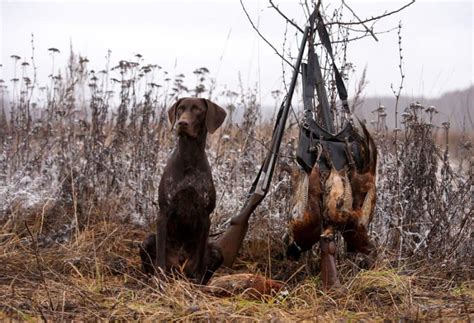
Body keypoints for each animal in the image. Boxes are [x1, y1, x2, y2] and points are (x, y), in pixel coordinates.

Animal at [140, 97, 227, 284]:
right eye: (180, 109)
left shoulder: (205, 217)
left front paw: (196, 282)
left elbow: (200, 260)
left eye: (198, 110)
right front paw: (159, 281)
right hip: (147, 241)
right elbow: (160, 258)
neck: (189, 158)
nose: (182, 123)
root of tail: (179, 268)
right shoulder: (164, 213)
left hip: (216, 251)